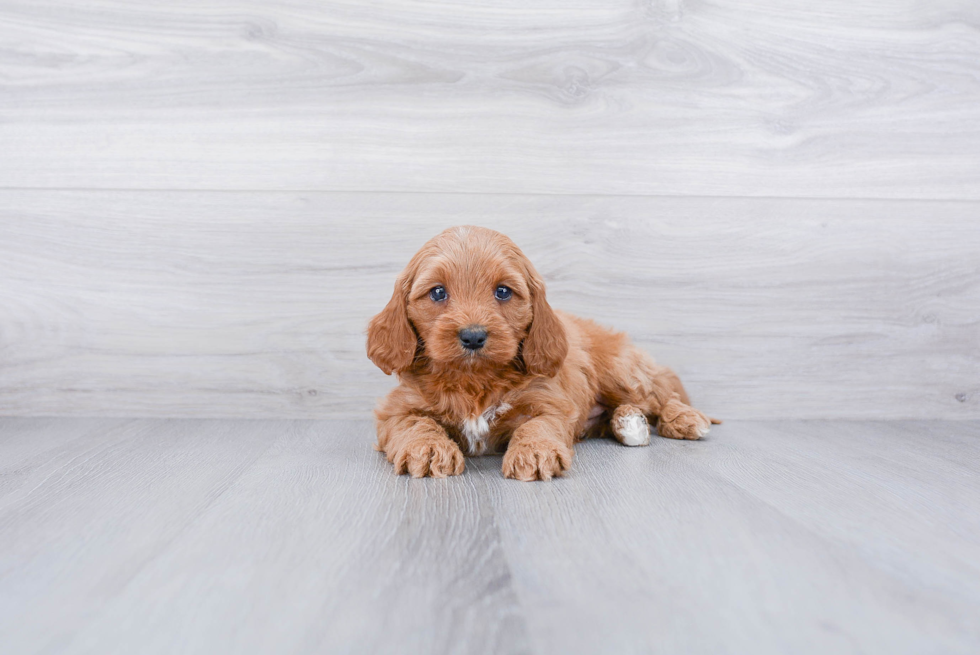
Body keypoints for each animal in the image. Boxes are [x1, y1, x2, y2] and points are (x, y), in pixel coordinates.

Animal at [364, 227, 716, 482]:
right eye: (437, 292)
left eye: (503, 291)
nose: (473, 335)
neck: (475, 379)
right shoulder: (395, 411)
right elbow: (415, 423)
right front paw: (428, 449)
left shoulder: (550, 402)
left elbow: (537, 425)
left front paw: (534, 452)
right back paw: (629, 423)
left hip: (621, 371)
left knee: (661, 396)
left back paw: (683, 419)